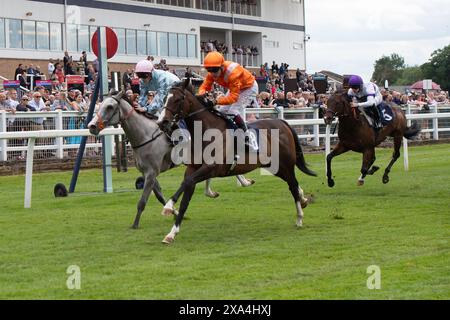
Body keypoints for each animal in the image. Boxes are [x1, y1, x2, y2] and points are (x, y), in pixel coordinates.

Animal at [86, 91, 251, 229]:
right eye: (100, 105)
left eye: (110, 107)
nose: (92, 126)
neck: (146, 136)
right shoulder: (147, 172)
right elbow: (159, 196)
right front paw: (175, 212)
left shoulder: (152, 172)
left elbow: (142, 201)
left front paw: (135, 224)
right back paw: (215, 190)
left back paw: (243, 181)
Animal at [156, 79, 318, 242]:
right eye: (164, 99)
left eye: (177, 99)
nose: (161, 122)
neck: (206, 132)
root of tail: (282, 122)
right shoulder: (192, 169)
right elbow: (185, 198)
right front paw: (171, 233)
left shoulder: (211, 168)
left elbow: (187, 183)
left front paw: (168, 206)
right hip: (275, 167)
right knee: (293, 185)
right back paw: (303, 200)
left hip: (286, 165)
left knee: (293, 185)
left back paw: (299, 217)